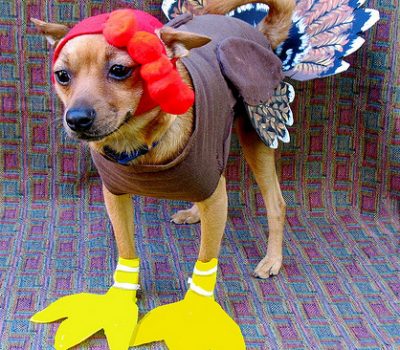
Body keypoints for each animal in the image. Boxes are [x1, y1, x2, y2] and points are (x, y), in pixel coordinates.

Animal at [32, 1, 296, 348]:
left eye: (120, 70)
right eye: (62, 76)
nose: (76, 119)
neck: (138, 144)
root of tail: (258, 32)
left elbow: (206, 259)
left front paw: (193, 317)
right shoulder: (115, 197)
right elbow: (126, 247)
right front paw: (121, 302)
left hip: (257, 134)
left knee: (276, 203)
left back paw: (273, 259)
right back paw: (194, 211)